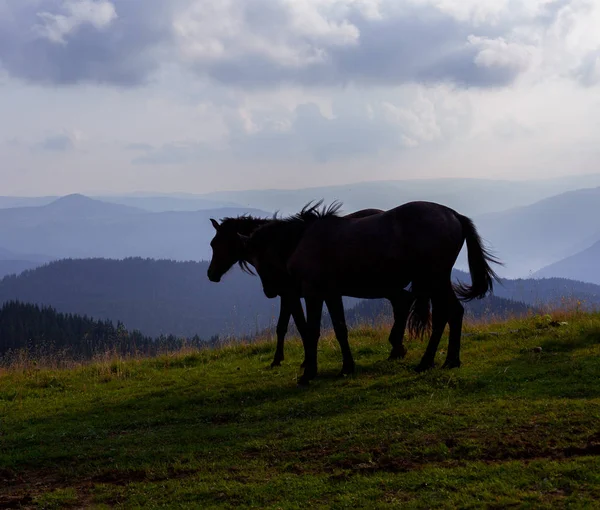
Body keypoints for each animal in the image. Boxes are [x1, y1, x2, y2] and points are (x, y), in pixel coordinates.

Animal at [206, 209, 418, 372]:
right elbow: (283, 326)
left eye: (217, 244)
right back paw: (396, 348)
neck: (285, 247)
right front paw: (279, 359)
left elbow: (301, 326)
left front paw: (304, 361)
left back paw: (396, 347)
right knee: (402, 302)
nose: (211, 274)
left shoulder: (292, 294)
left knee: (402, 302)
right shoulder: (289, 295)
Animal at [239, 201, 502, 384]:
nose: (270, 291)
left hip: (434, 278)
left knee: (448, 314)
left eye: (258, 260)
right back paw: (445, 361)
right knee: (450, 314)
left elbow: (312, 332)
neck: (303, 239)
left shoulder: (314, 293)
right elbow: (340, 329)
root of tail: (453, 214)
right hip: (436, 280)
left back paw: (430, 361)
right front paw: (347, 367)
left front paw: (309, 373)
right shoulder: (331, 294)